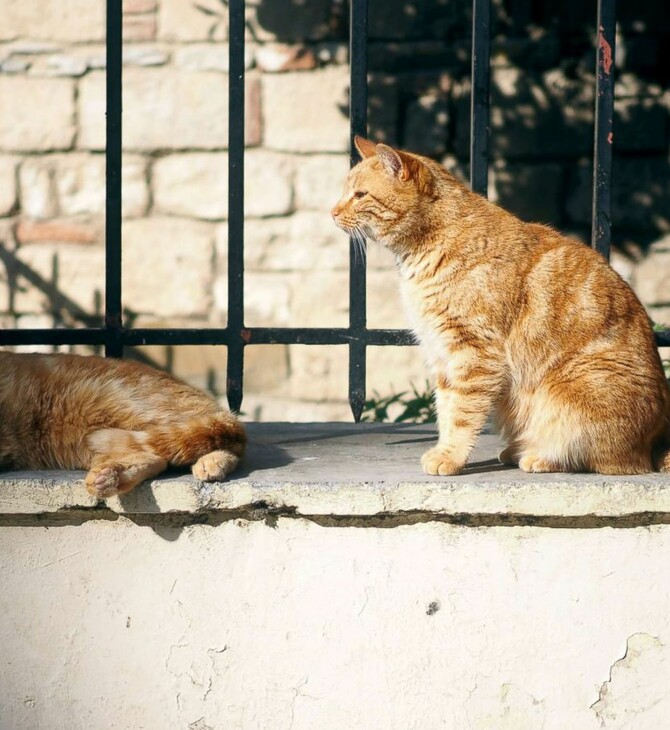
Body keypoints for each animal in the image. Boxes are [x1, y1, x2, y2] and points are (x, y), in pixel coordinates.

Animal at [332, 135, 670, 478]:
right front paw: (444, 448)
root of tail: (655, 445)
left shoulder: (474, 352)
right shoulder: (441, 354)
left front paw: (449, 456)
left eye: (360, 195)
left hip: (571, 392)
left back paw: (537, 456)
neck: (429, 247)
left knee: (598, 457)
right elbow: (445, 408)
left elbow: (461, 415)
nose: (333, 212)